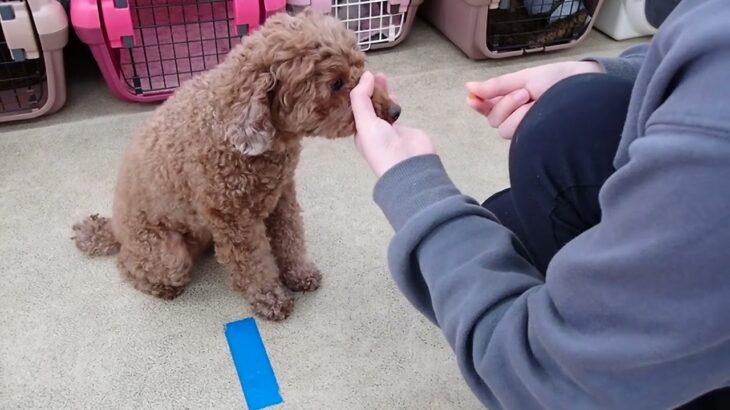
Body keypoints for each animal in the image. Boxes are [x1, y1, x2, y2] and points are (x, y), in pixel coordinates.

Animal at [71, 9, 398, 320]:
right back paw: (160, 287)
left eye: (361, 67)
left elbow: (290, 238)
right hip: (167, 254)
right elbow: (253, 263)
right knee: (128, 265)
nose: (395, 111)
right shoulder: (233, 218)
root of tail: (116, 229)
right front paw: (270, 298)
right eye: (336, 84)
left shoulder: (282, 197)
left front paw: (299, 274)